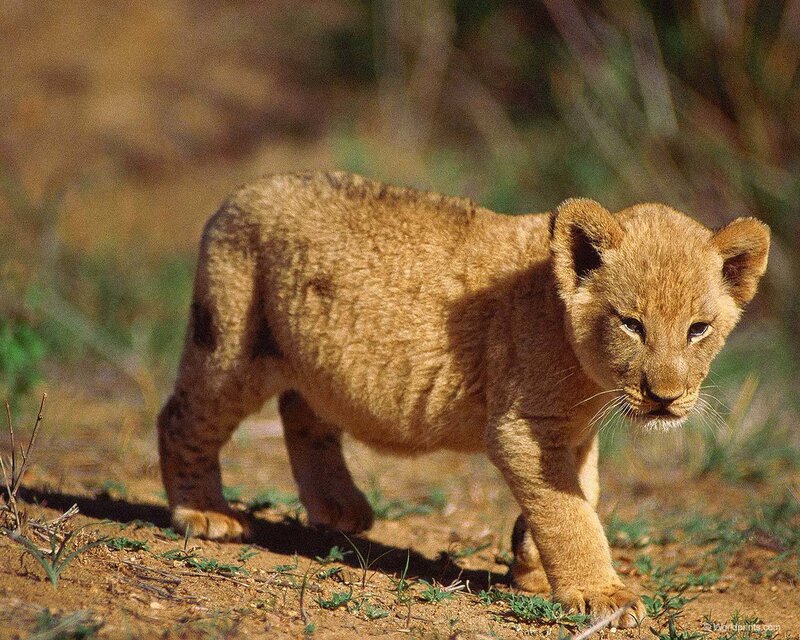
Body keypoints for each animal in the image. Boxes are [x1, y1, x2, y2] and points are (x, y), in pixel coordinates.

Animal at [157, 171, 769, 625]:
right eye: (631, 324)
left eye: (698, 329)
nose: (664, 398)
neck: (590, 383)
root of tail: (242, 192)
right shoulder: (523, 427)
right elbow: (570, 512)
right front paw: (602, 594)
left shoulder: (575, 433)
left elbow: (585, 493)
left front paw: (531, 563)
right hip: (232, 344)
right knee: (182, 416)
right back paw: (206, 514)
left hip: (313, 359)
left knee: (301, 409)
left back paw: (338, 507)